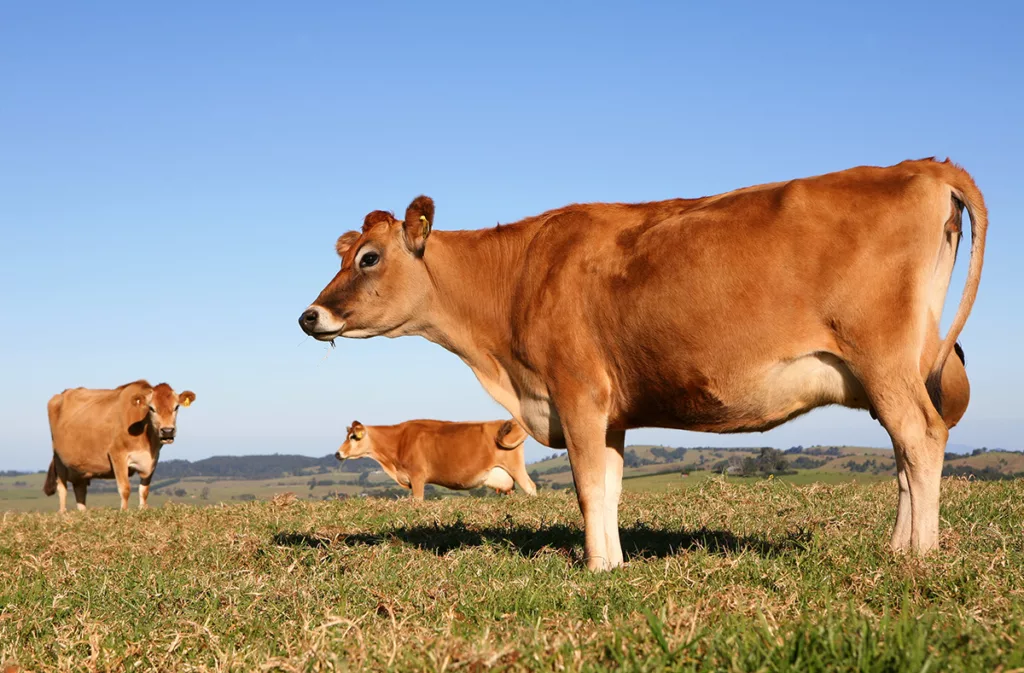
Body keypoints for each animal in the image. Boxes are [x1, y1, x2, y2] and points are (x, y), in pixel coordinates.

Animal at [45, 381, 195, 512]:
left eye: (176, 407)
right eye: (151, 408)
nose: (167, 431)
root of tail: (62, 393)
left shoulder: (152, 460)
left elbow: (144, 490)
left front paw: (143, 509)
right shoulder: (117, 454)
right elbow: (125, 488)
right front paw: (124, 511)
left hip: (80, 468)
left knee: (80, 490)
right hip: (58, 458)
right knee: (62, 488)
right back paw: (63, 513)